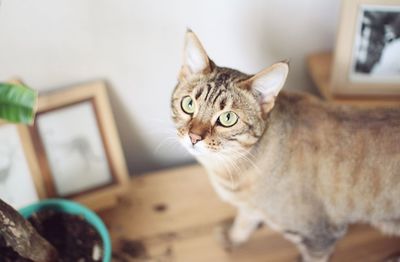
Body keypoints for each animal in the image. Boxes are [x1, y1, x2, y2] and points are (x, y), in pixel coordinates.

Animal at [170, 29, 400, 260]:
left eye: (228, 118)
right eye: (188, 104)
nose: (193, 137)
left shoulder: (320, 238)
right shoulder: (250, 209)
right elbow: (244, 222)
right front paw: (234, 237)